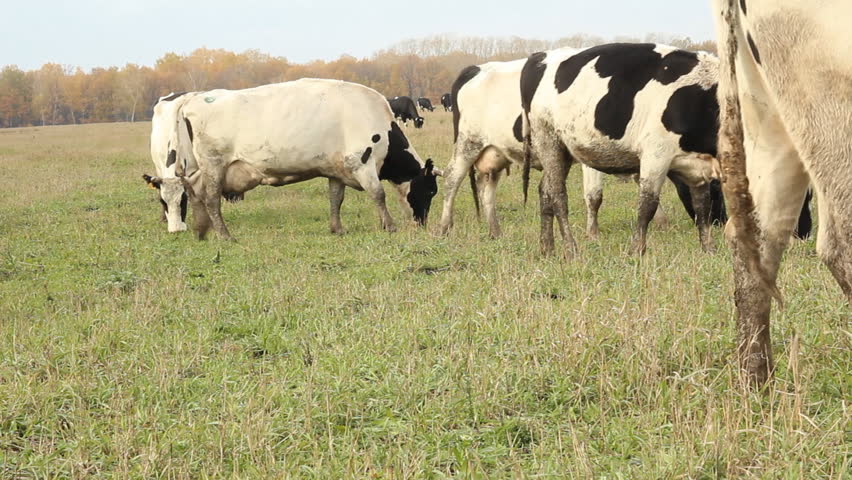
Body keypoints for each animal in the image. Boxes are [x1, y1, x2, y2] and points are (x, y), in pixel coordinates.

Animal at [167, 79, 440, 241]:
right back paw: (225, 235)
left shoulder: (335, 170)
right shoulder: (360, 161)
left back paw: (201, 230)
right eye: (430, 191)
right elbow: (378, 194)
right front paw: (390, 226)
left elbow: (336, 199)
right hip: (214, 164)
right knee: (212, 199)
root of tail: (193, 98)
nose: (423, 222)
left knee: (195, 191)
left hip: (199, 168)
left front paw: (337, 228)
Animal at [438, 57, 727, 240]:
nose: (720, 221)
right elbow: (594, 195)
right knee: (452, 179)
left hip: (494, 153)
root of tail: (476, 68)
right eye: (716, 187)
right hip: (467, 143)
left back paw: (494, 230)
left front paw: (662, 222)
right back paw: (444, 227)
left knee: (487, 187)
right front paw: (593, 233)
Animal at [521, 44, 722, 257]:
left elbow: (702, 207)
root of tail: (539, 55)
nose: (721, 221)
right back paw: (571, 248)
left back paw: (547, 248)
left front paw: (709, 249)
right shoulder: (656, 154)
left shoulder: (697, 168)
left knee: (545, 191)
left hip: (563, 151)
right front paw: (637, 251)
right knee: (558, 195)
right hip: (548, 139)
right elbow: (647, 206)